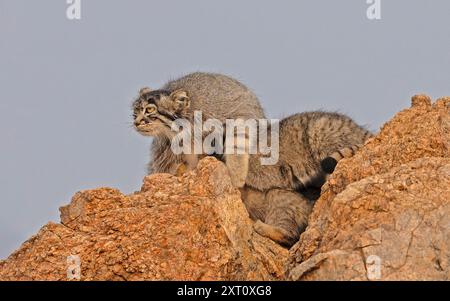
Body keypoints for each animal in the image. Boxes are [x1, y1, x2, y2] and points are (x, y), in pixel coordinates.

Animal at [130, 71, 266, 186]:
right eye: (135, 111)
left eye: (149, 109)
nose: (136, 123)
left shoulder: (238, 116)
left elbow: (237, 143)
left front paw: (236, 178)